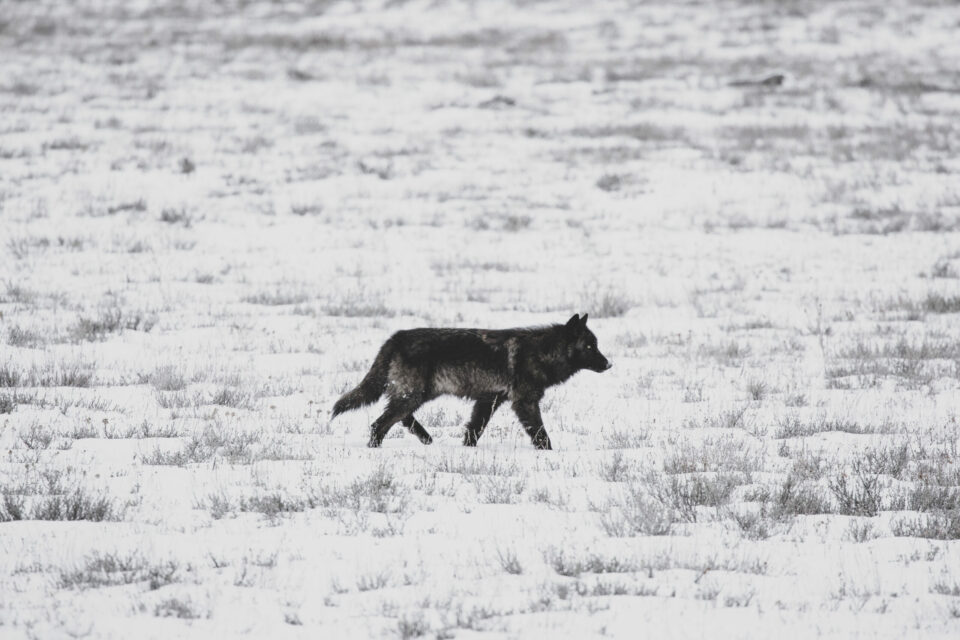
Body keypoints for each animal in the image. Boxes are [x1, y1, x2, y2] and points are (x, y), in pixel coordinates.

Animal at [330, 316, 616, 450]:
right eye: (590, 346)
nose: (609, 365)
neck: (541, 351)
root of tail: (396, 336)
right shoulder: (525, 403)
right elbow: (540, 435)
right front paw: (551, 454)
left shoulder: (489, 399)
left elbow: (474, 430)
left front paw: (468, 451)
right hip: (414, 395)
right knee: (380, 423)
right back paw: (377, 449)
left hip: (417, 395)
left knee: (399, 418)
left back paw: (426, 438)